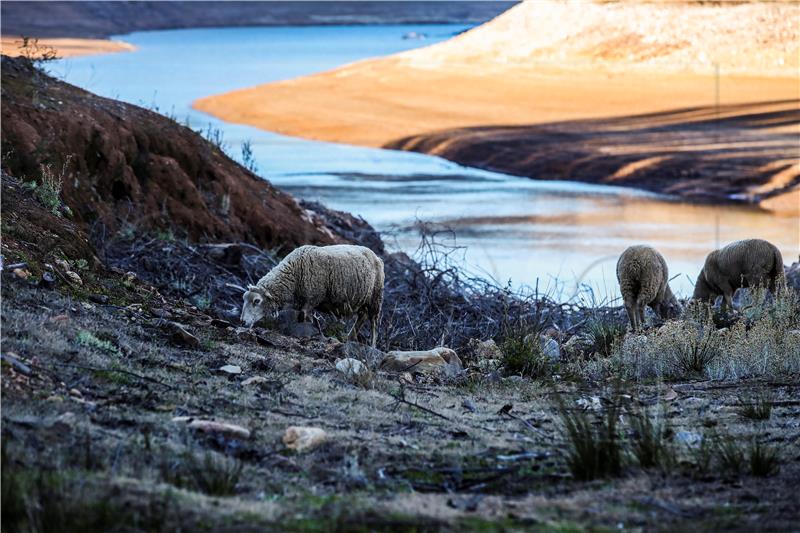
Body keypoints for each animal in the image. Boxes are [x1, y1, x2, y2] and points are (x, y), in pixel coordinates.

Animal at [241, 244, 384, 348]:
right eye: (244, 298)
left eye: (257, 301)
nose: (242, 321)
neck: (294, 273)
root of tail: (376, 256)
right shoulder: (305, 304)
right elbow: (308, 320)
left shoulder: (311, 300)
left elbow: (304, 319)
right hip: (363, 300)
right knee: (362, 316)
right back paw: (349, 338)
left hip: (376, 298)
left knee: (374, 323)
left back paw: (372, 345)